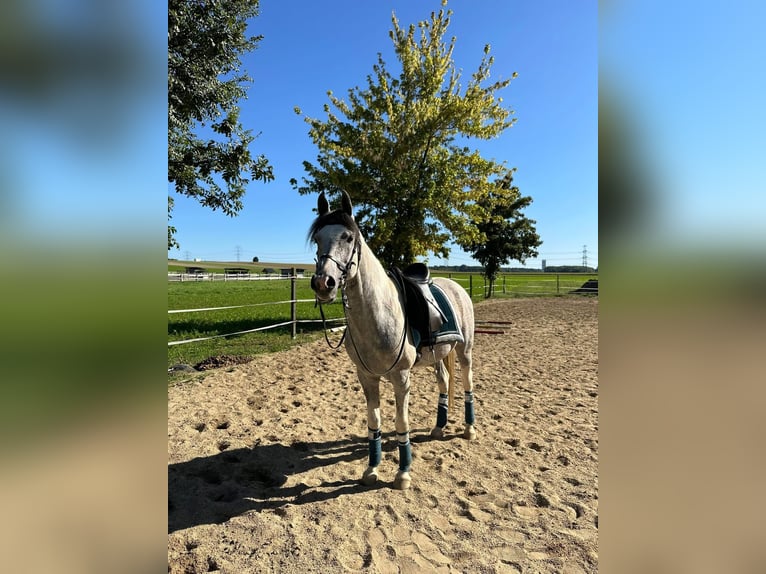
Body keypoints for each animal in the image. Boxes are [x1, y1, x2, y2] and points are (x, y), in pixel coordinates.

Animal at [308, 190, 476, 490]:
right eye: (317, 239)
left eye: (348, 237)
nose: (323, 283)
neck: (378, 313)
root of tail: (456, 286)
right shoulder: (366, 377)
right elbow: (374, 422)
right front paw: (371, 469)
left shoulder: (401, 378)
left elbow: (401, 423)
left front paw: (403, 474)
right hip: (437, 356)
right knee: (444, 380)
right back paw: (438, 427)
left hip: (465, 350)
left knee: (468, 383)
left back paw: (469, 430)